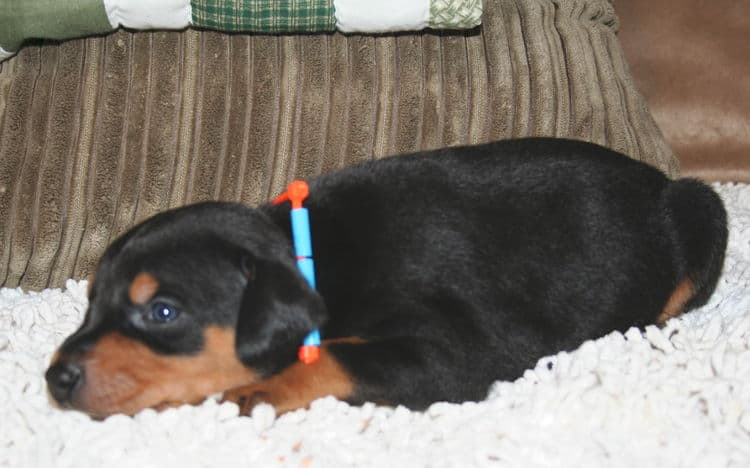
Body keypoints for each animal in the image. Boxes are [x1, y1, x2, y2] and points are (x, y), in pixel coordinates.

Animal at [45, 138, 728, 416]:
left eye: (162, 312)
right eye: (89, 305)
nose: (55, 379)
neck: (311, 252)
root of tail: (657, 176)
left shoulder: (460, 350)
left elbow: (336, 355)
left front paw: (260, 388)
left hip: (703, 209)